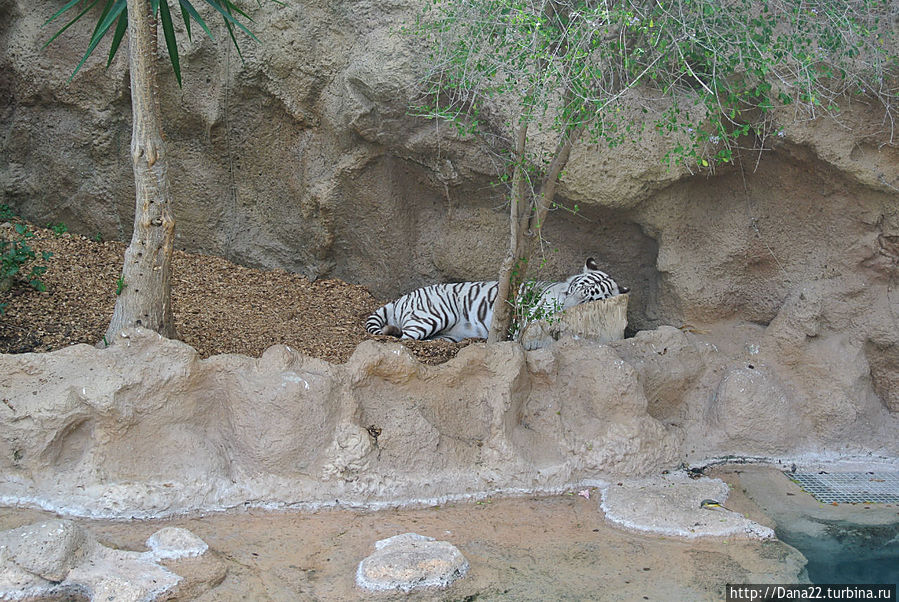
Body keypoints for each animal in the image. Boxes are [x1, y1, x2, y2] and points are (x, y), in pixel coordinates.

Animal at [364, 256, 624, 342]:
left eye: (587, 301)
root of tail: (403, 297)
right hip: (434, 315)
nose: (563, 310)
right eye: (573, 290)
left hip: (445, 334)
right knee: (403, 340)